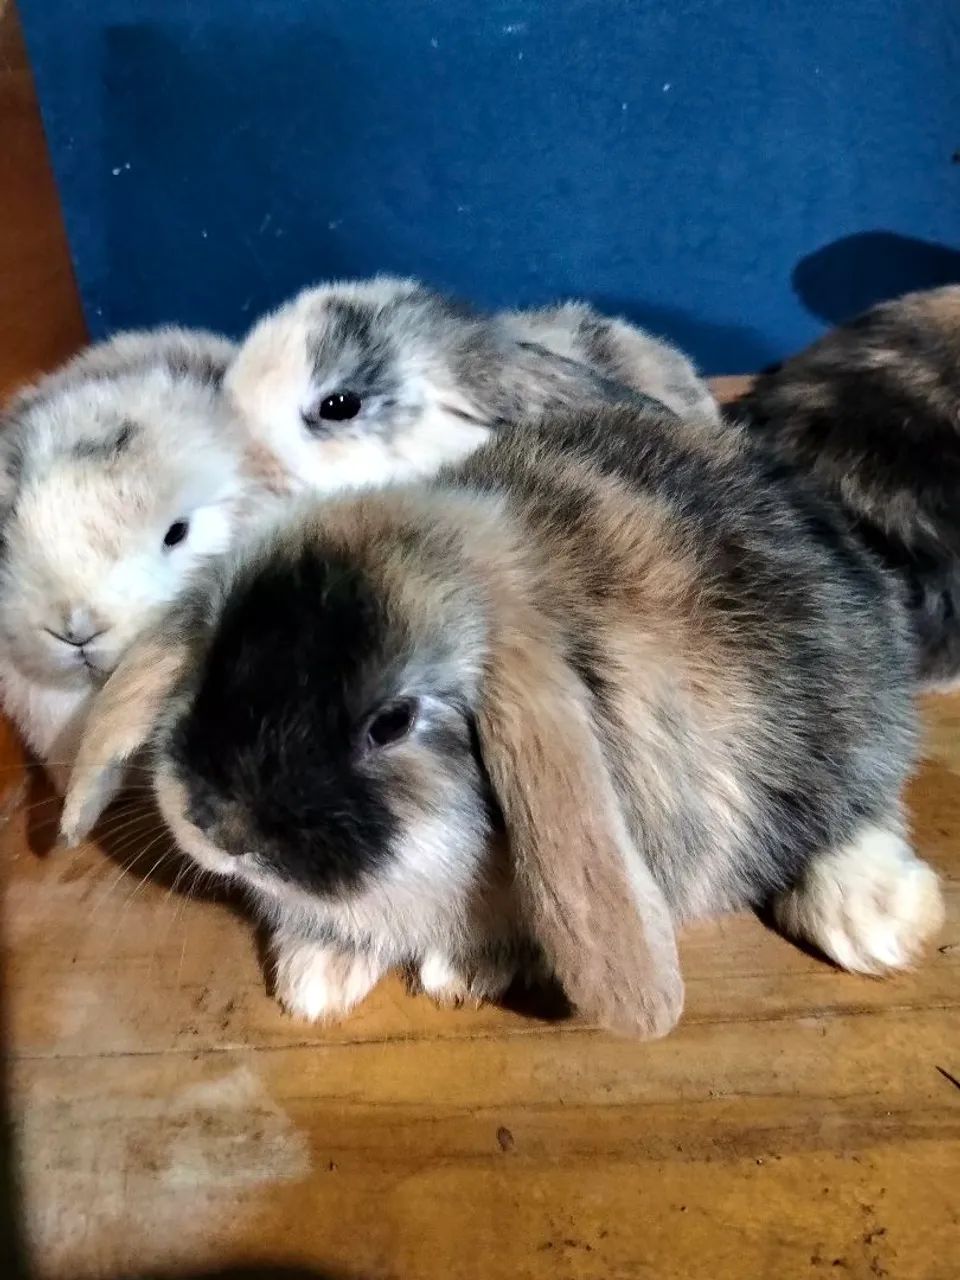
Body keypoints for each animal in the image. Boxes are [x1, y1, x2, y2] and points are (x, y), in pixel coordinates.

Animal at [58, 400, 944, 1037]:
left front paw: (460, 975)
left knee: (864, 803)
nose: (220, 825)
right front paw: (316, 978)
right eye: (215, 652)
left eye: (392, 722)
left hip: (844, 719)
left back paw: (875, 919)